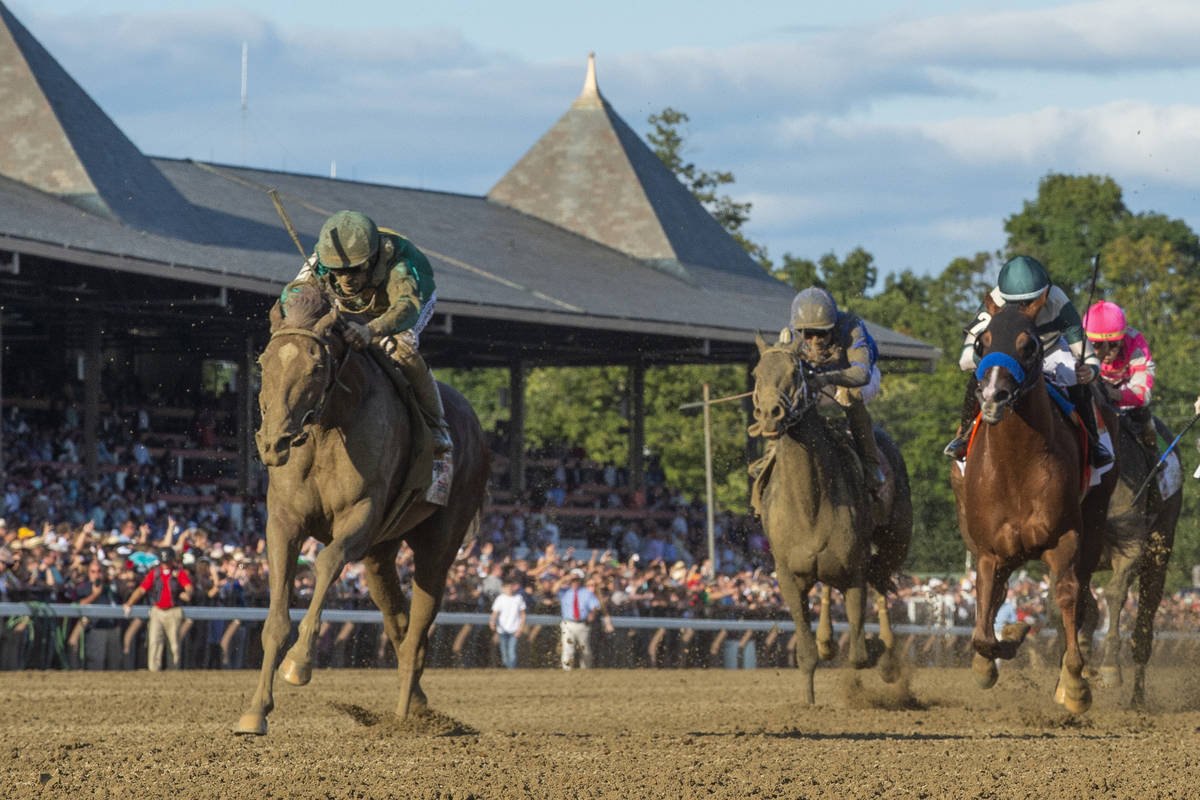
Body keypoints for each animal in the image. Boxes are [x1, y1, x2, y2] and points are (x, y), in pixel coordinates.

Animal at [235, 284, 487, 734]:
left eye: (317, 365)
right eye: (263, 361)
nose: (271, 441)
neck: (327, 428)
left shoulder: (363, 514)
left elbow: (326, 562)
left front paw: (299, 663)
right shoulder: (284, 522)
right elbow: (276, 618)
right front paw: (256, 711)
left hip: (440, 539)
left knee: (419, 624)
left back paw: (405, 717)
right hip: (381, 553)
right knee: (398, 620)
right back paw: (417, 702)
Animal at [748, 335, 907, 705]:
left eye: (795, 372)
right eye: (756, 373)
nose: (769, 414)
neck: (810, 503)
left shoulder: (855, 569)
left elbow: (860, 653)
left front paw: (879, 653)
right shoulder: (788, 575)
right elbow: (806, 652)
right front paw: (809, 698)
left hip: (896, 540)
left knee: (883, 580)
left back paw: (889, 653)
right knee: (830, 589)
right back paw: (828, 640)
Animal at [950, 296, 1118, 714]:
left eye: (1029, 346)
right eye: (982, 343)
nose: (993, 396)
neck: (1016, 465)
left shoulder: (1065, 538)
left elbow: (1067, 598)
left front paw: (1073, 684)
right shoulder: (990, 550)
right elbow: (984, 623)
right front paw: (1002, 645)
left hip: (1094, 521)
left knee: (1081, 597)